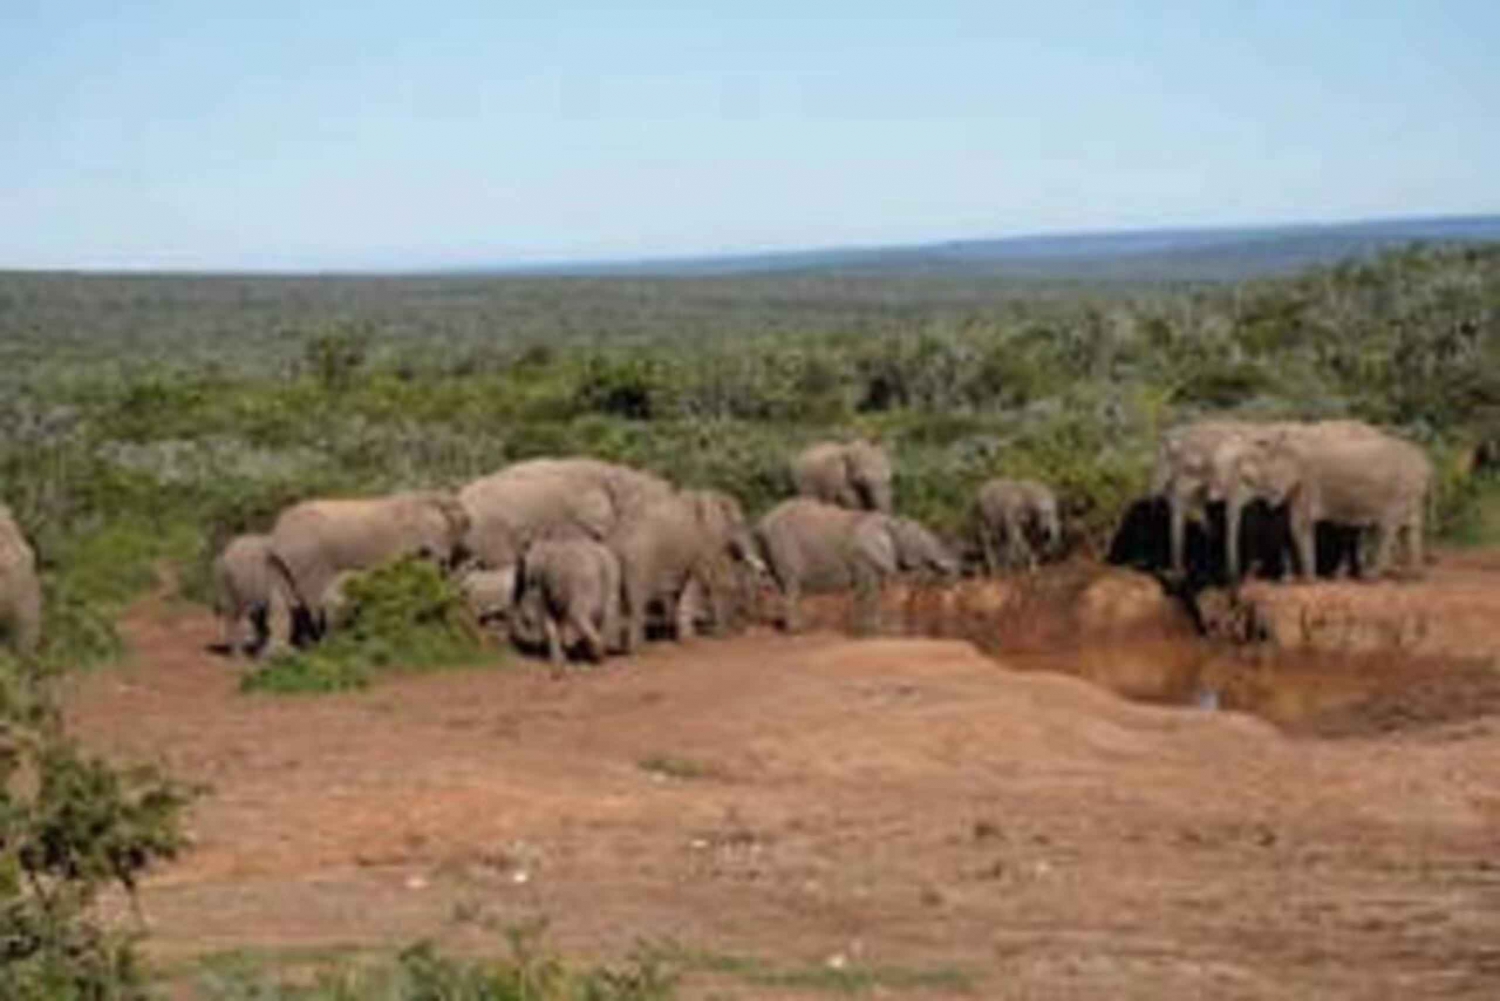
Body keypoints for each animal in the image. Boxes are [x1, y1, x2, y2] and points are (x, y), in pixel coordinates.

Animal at [266, 490, 471, 647]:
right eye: (459, 524)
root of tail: (278, 532)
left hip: (283, 565)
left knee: (288, 605)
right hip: (308, 559)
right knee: (315, 603)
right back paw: (325, 644)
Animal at [512, 534, 622, 667]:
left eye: (520, 564)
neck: (544, 543)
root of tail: (601, 561)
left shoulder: (542, 581)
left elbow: (547, 612)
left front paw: (556, 662)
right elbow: (559, 615)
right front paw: (563, 657)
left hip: (585, 582)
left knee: (577, 614)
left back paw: (597, 655)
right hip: (613, 578)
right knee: (608, 614)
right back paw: (596, 654)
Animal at [608, 488, 763, 652]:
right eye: (737, 524)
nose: (739, 632)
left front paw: (679, 638)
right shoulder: (700, 544)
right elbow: (700, 579)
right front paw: (690, 640)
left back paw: (614, 647)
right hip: (639, 561)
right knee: (637, 599)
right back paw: (639, 649)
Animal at [754, 498, 957, 633]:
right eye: (921, 540)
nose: (952, 569)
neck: (889, 522)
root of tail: (761, 523)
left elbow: (874, 590)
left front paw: (874, 627)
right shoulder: (862, 556)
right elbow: (868, 589)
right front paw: (870, 629)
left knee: (779, 585)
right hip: (782, 546)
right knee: (791, 585)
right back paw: (796, 630)